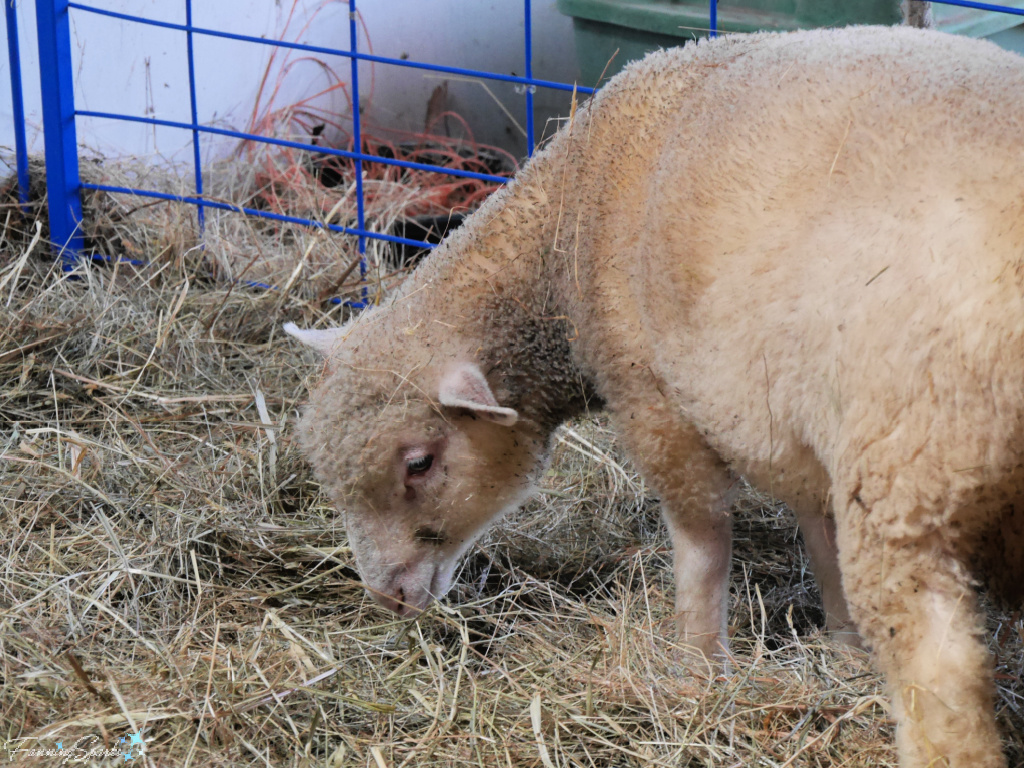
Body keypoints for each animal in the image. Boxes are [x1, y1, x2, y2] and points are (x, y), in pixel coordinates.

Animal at [284, 25, 1024, 768]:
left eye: (419, 464)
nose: (387, 597)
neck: (565, 233)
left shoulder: (657, 401)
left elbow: (702, 546)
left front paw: (697, 668)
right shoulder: (795, 424)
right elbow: (819, 533)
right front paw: (841, 649)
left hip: (908, 478)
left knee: (943, 675)